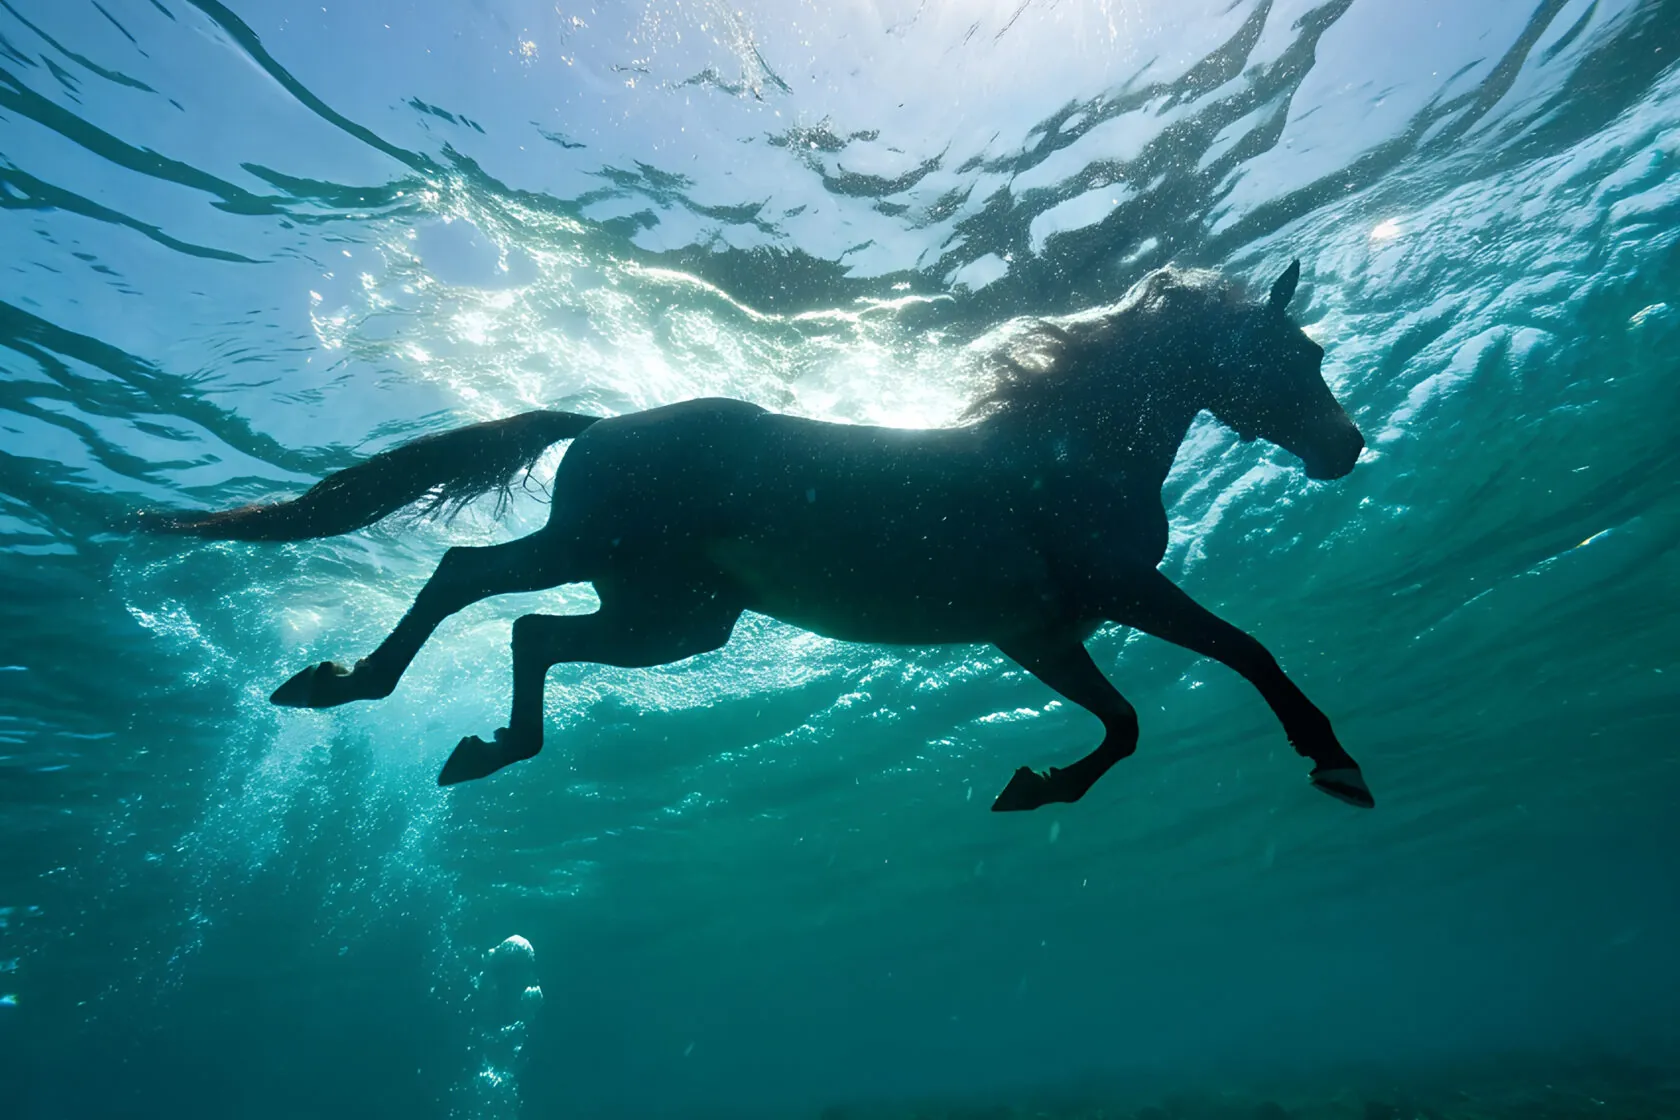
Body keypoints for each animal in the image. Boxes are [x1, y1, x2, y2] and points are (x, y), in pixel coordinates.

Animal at [142, 261, 1374, 810]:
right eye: (1300, 353)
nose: (1347, 448)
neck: (1067, 452)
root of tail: (600, 423)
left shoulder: (1037, 632)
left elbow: (1123, 725)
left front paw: (1035, 784)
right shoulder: (1118, 591)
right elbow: (1246, 653)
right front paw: (1334, 758)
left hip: (677, 617)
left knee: (535, 633)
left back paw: (485, 748)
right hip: (610, 564)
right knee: (463, 576)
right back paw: (344, 683)